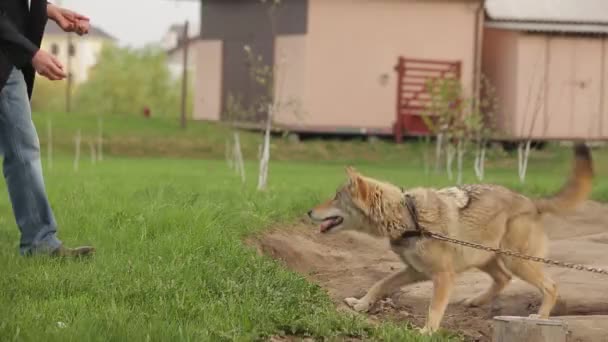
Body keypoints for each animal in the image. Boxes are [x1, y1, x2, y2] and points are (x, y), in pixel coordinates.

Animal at [306, 144, 592, 334]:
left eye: (335, 197)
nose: (308, 212)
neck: (409, 216)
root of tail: (531, 201)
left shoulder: (443, 276)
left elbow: (434, 308)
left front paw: (427, 332)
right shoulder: (415, 271)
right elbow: (380, 284)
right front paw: (361, 305)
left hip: (515, 261)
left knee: (550, 285)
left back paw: (539, 317)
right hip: (484, 258)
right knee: (503, 279)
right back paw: (476, 301)